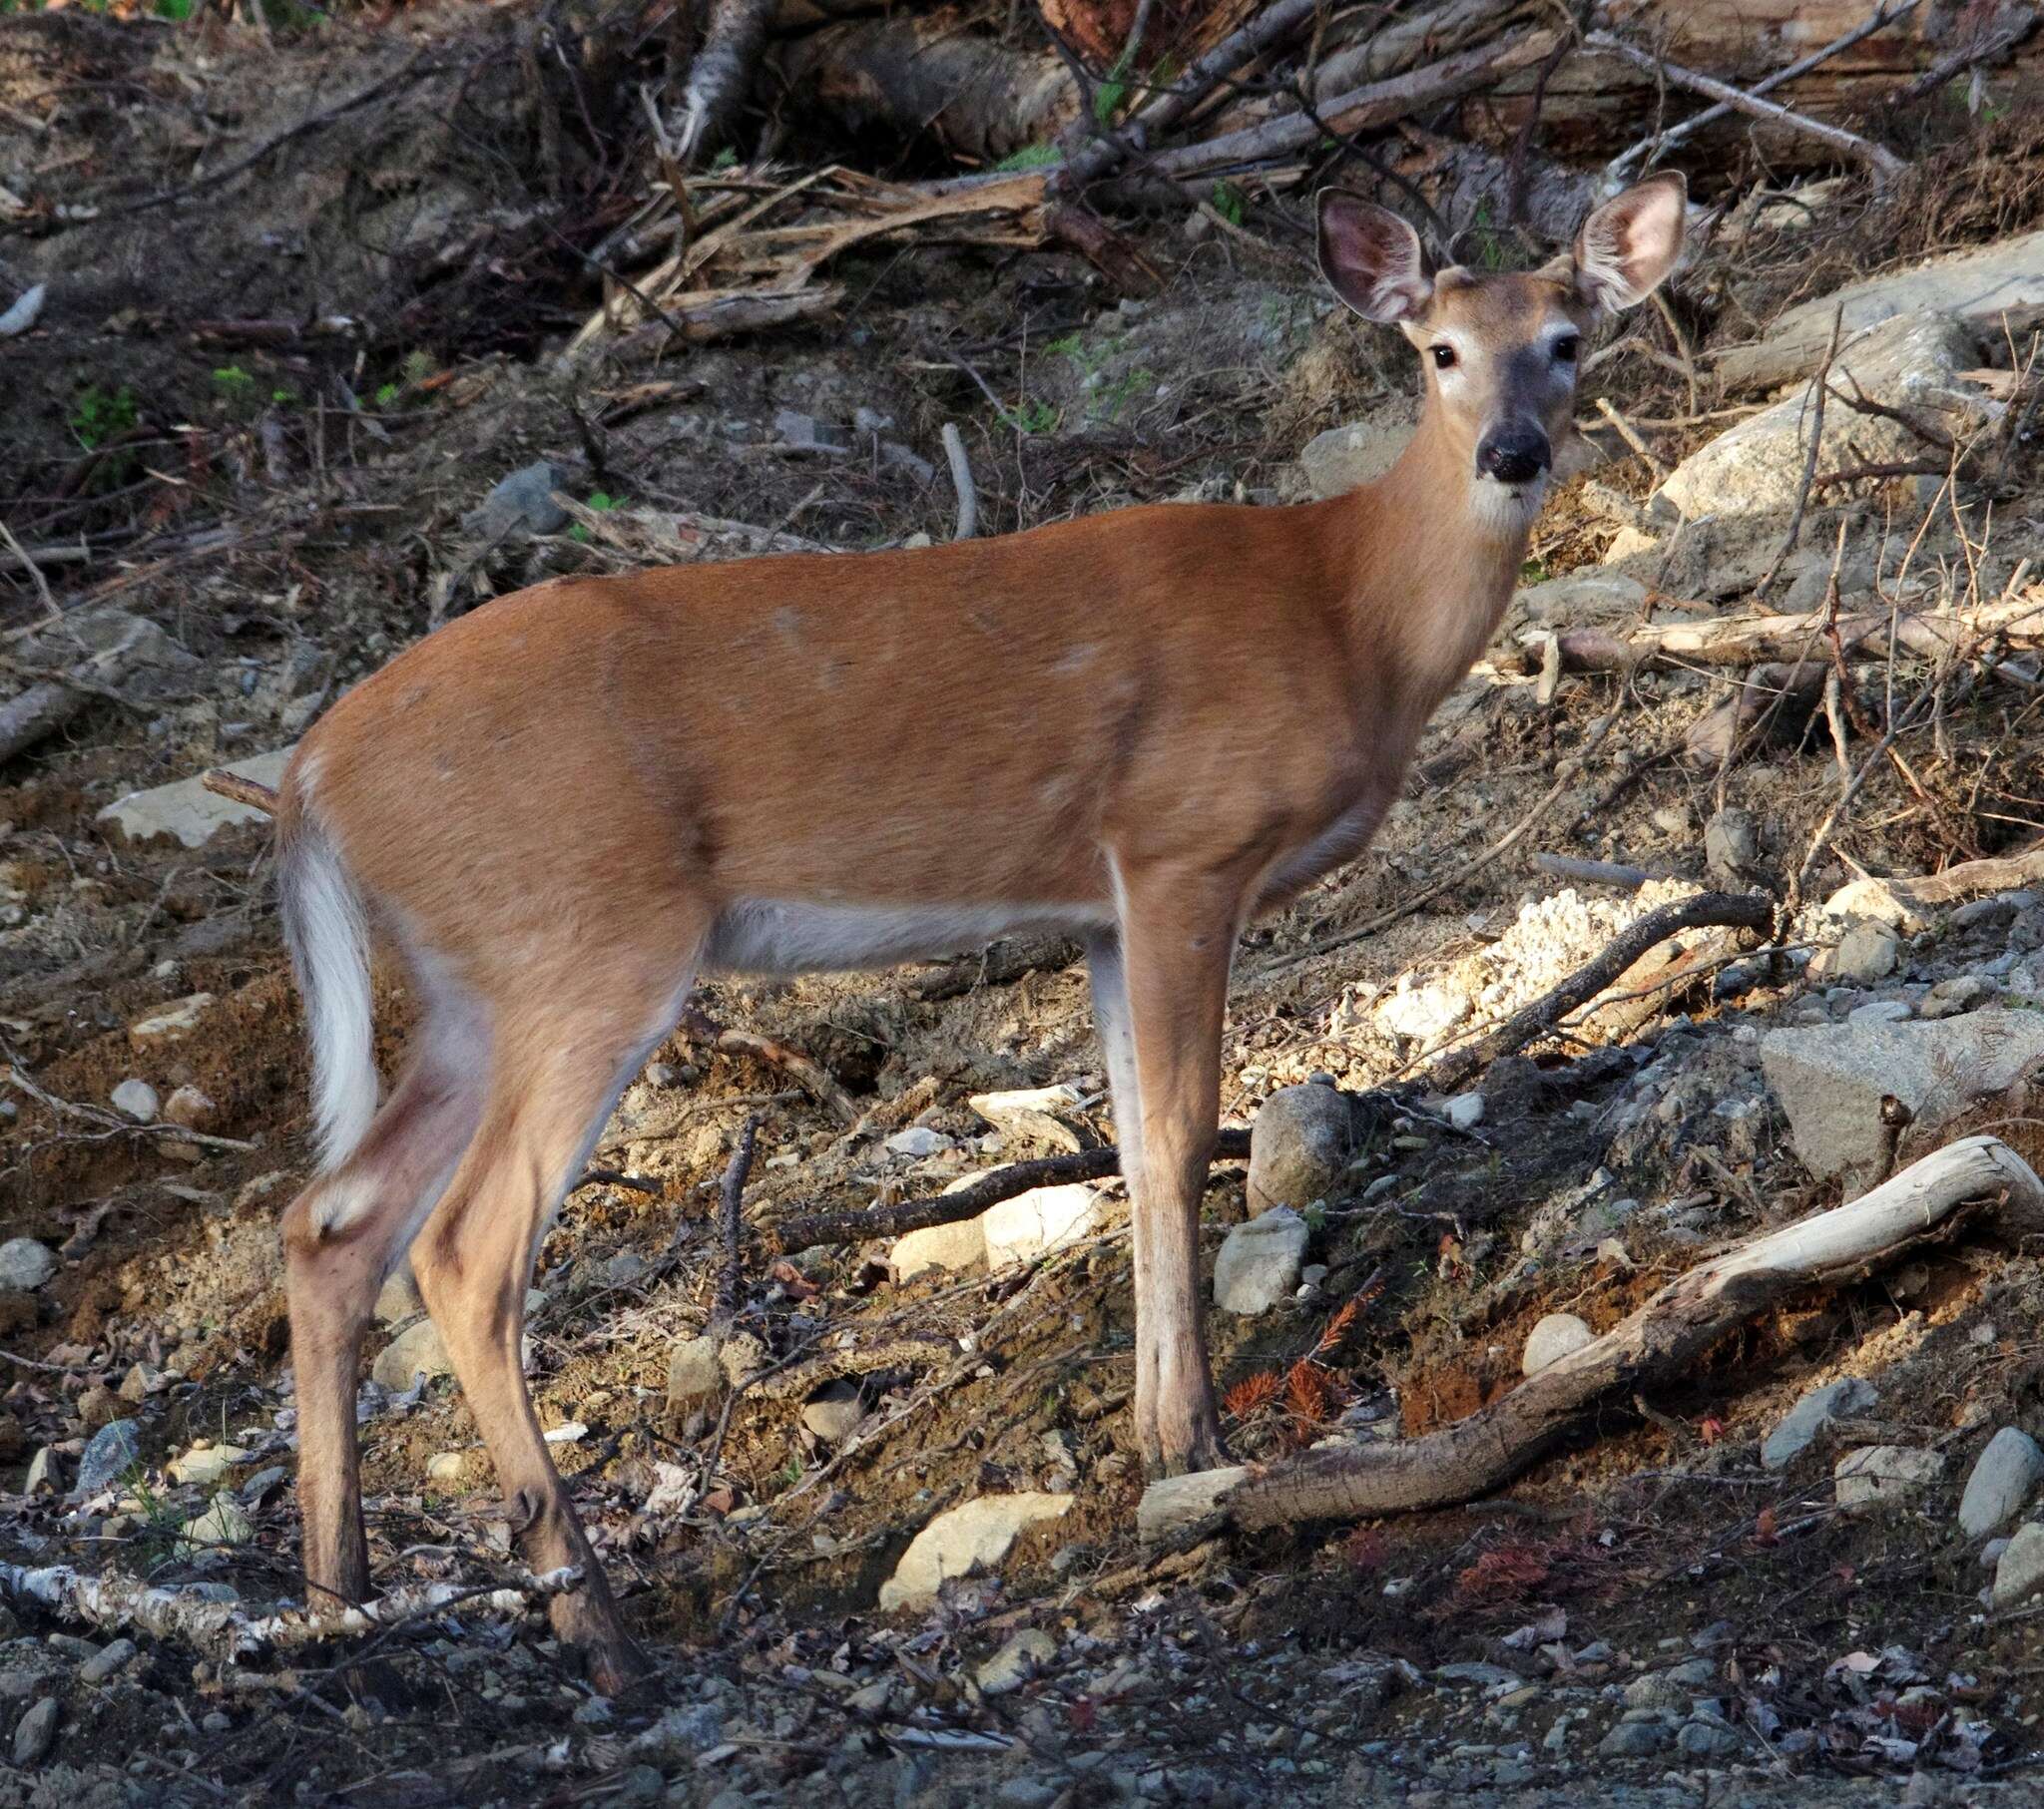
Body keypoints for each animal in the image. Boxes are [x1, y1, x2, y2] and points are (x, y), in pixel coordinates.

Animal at [263, 170, 1684, 1675]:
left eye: (1568, 341)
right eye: (1441, 351)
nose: (1514, 453)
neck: (1346, 609)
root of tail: (310, 774)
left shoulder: (1104, 904)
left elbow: (1137, 1142)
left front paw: (1155, 1439)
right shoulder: (1181, 847)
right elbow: (1183, 1132)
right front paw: (1196, 1442)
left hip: (473, 986)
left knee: (329, 1224)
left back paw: (336, 1595)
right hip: (587, 937)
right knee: (460, 1249)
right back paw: (591, 1616)